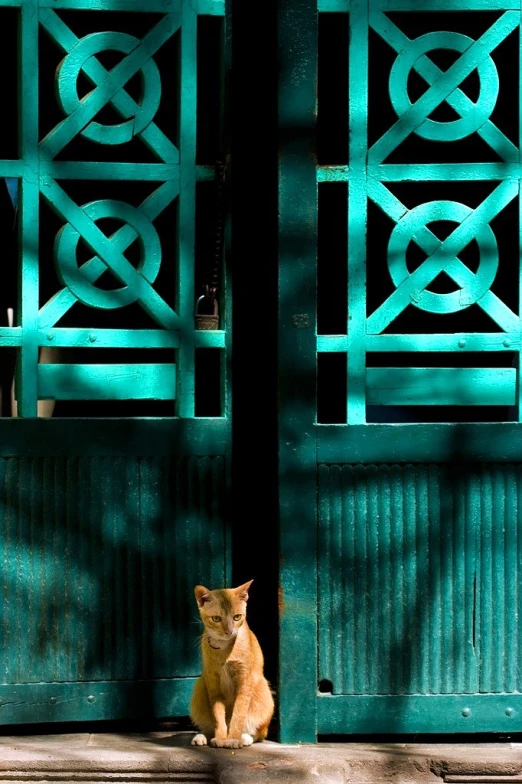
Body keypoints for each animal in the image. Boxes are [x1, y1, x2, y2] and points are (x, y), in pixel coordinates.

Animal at [189, 580, 274, 752]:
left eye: (237, 617)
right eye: (216, 618)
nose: (229, 631)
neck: (224, 649)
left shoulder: (245, 680)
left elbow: (239, 713)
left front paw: (233, 738)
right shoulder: (212, 680)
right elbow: (217, 713)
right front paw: (221, 737)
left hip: (262, 689)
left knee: (260, 732)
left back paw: (245, 737)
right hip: (200, 685)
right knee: (208, 724)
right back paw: (202, 736)